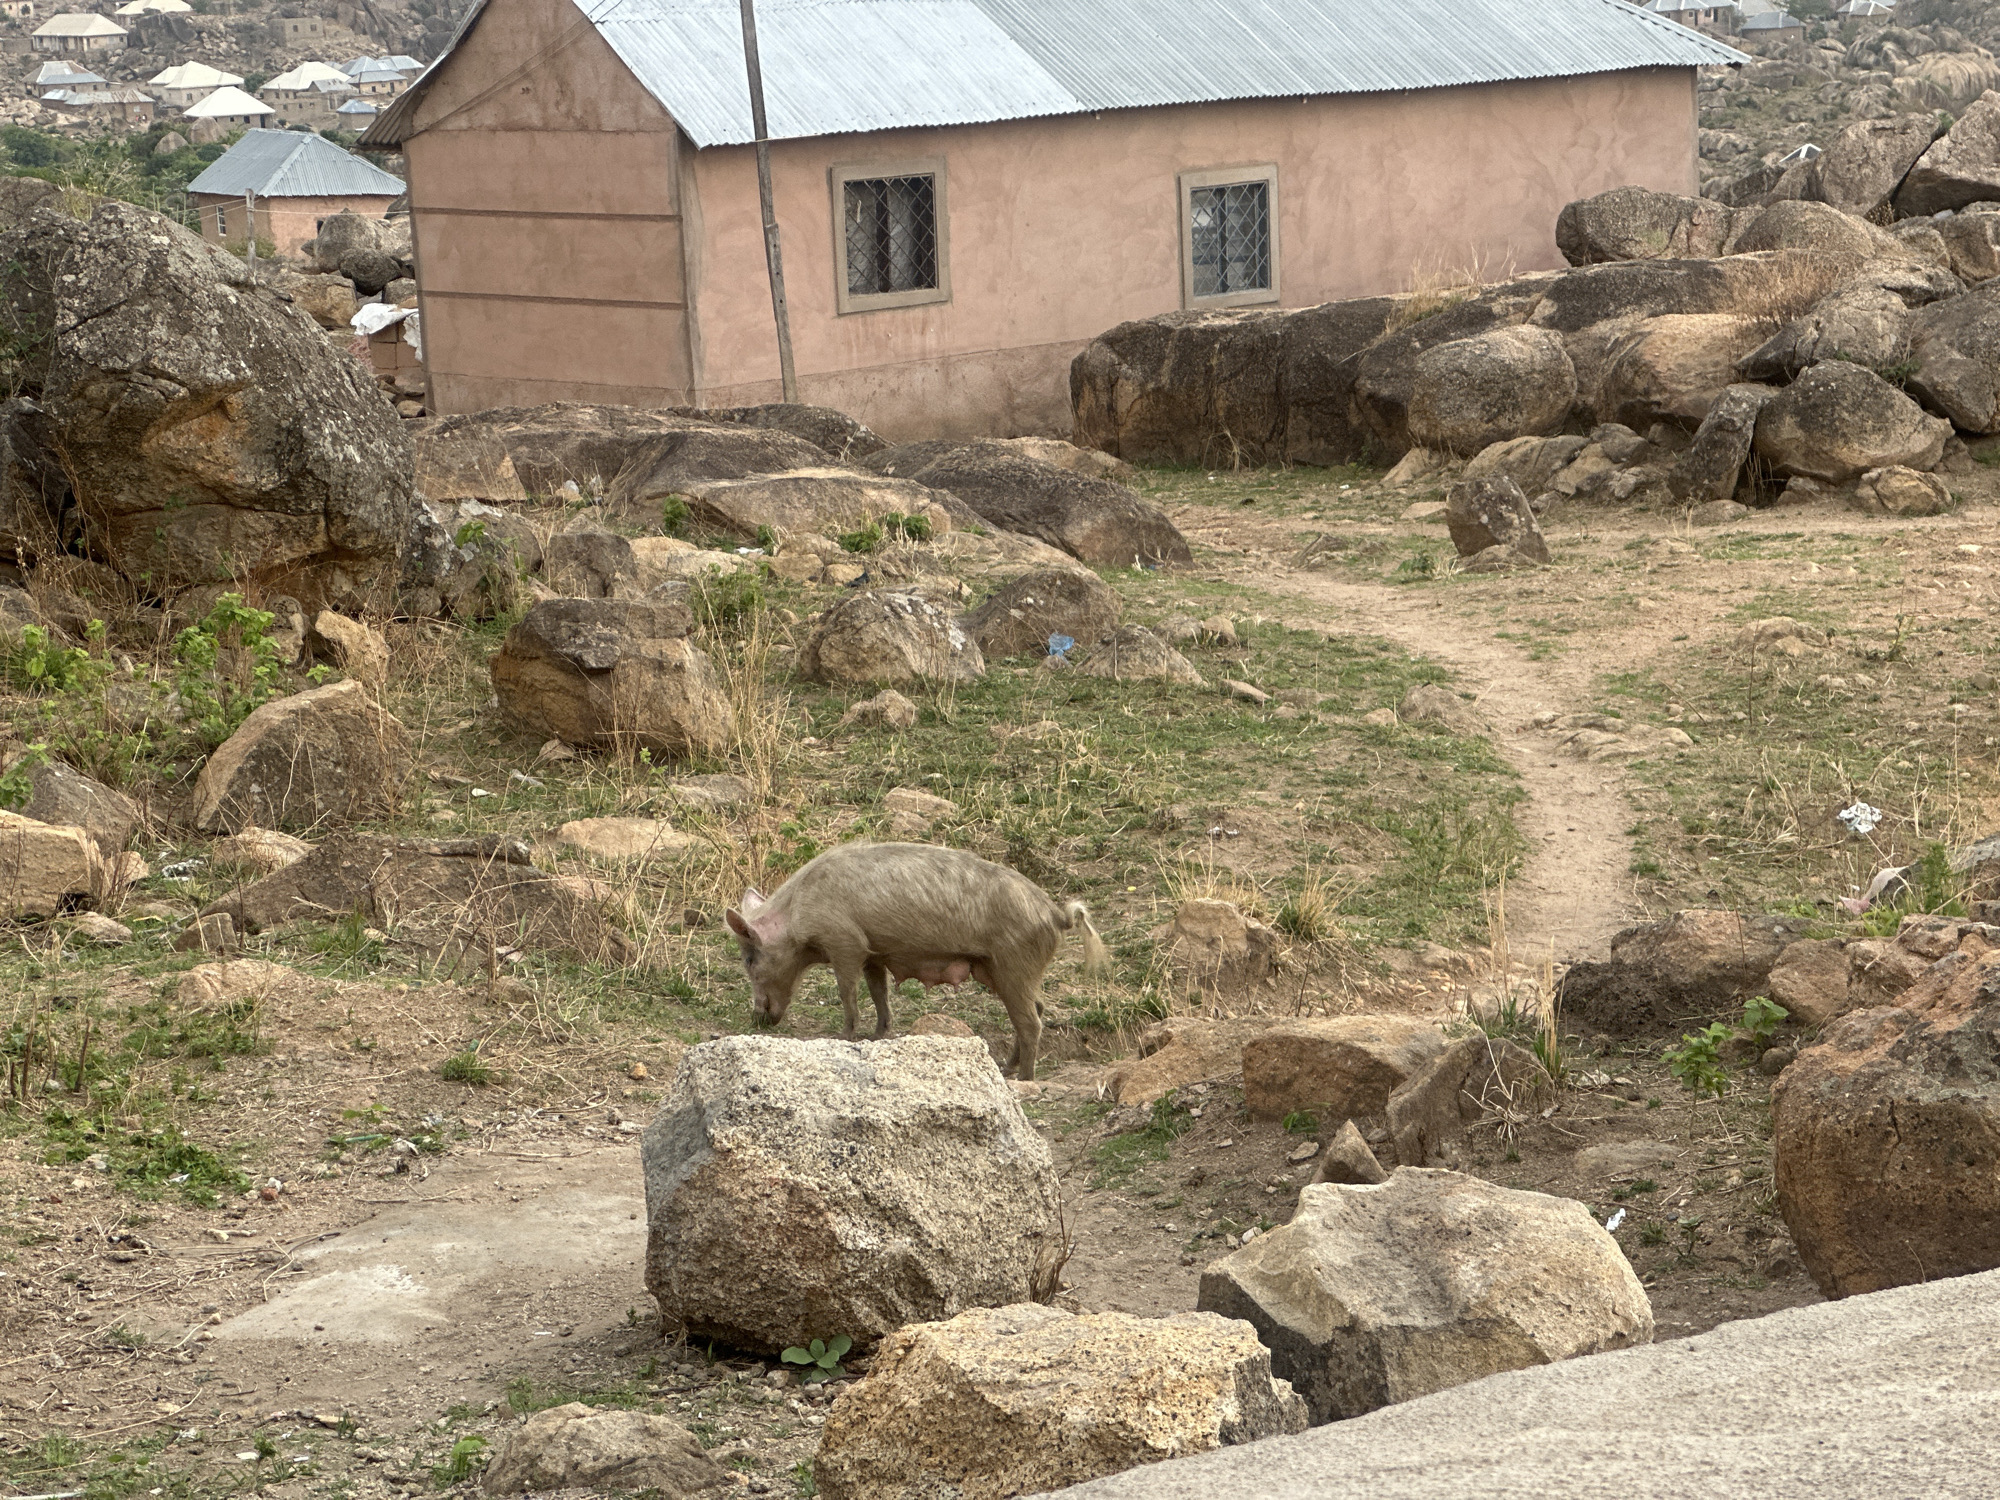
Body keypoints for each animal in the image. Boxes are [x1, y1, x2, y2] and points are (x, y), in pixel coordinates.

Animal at [724, 841, 1109, 1082]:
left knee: (1031, 1021)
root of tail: (1056, 914)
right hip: (1000, 970)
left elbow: (848, 992)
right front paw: (878, 1034)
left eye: (749, 959)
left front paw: (844, 1035)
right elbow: (878, 992)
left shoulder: (845, 942)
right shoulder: (873, 951)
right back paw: (1005, 1067)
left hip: (1013, 963)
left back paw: (1025, 1079)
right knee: (1037, 1008)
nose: (757, 1017)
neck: (798, 914)